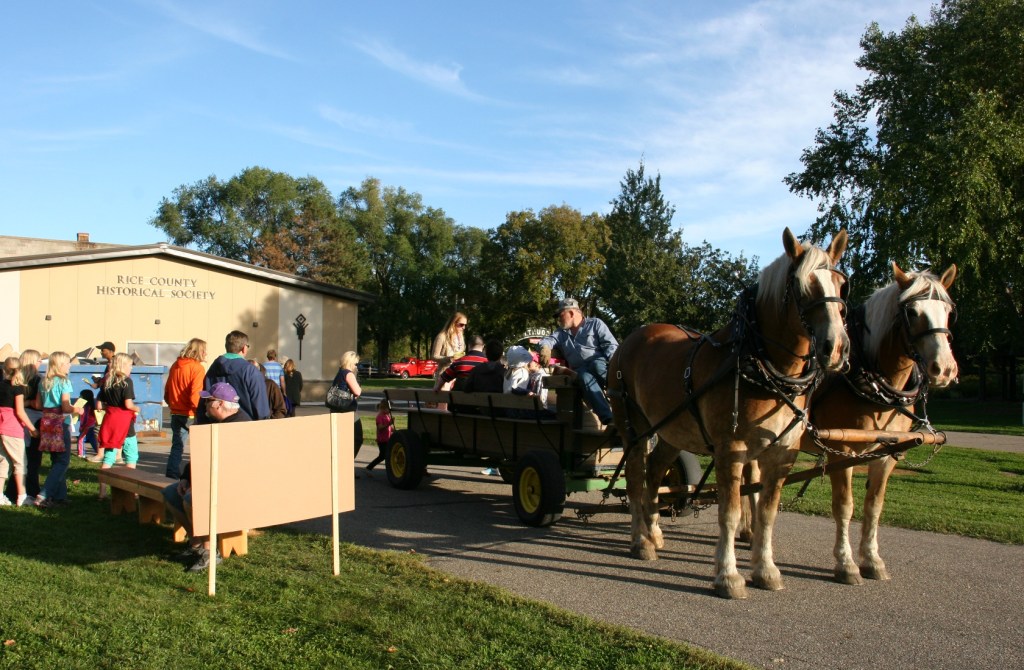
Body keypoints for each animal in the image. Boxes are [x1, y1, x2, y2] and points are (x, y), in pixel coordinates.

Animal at [608, 227, 850, 599]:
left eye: (840, 284)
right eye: (801, 286)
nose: (835, 348)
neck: (759, 362)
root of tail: (629, 341)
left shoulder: (783, 452)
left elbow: (767, 513)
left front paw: (766, 571)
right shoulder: (731, 449)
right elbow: (731, 512)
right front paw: (728, 575)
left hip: (671, 431)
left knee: (655, 474)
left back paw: (654, 533)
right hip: (633, 428)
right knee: (635, 478)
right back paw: (640, 541)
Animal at [804, 262, 957, 584]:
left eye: (948, 311)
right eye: (912, 312)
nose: (944, 369)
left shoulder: (887, 453)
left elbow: (874, 506)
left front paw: (872, 560)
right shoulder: (842, 451)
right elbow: (844, 506)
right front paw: (846, 563)